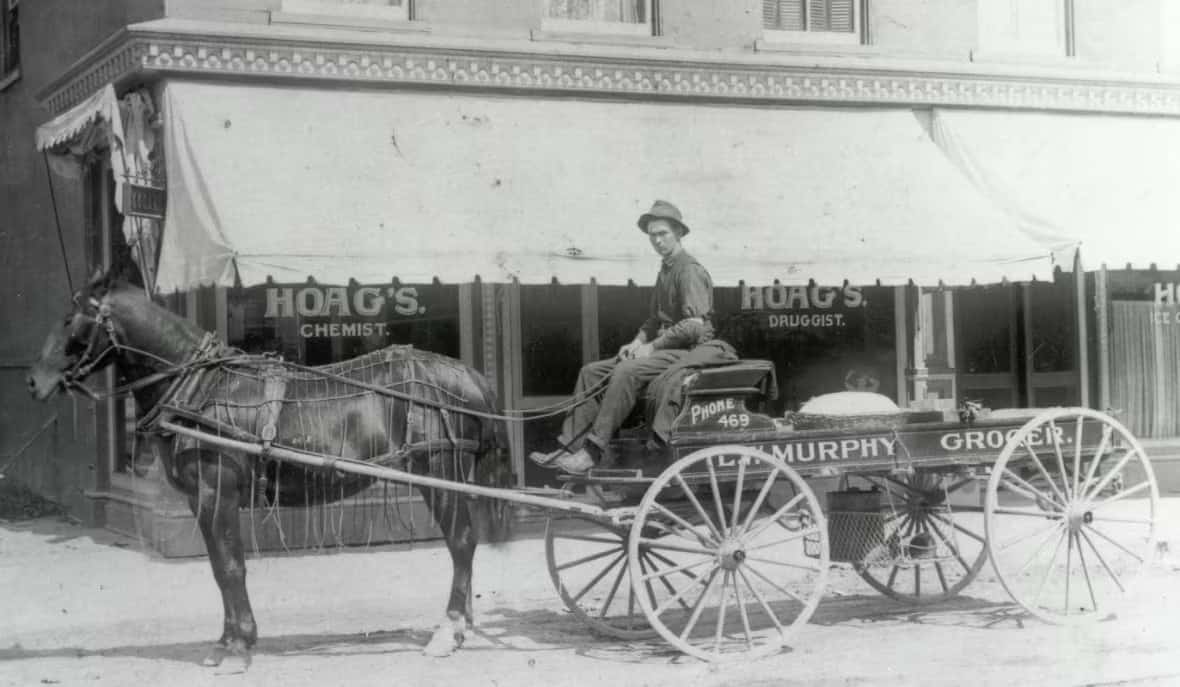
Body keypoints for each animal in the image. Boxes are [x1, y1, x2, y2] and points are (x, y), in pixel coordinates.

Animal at [27, 275, 512, 675]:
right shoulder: (199, 498)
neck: (199, 388)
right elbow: (219, 568)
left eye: (71, 319)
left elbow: (230, 568)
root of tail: (467, 374)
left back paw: (449, 630)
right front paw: (227, 643)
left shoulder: (216, 492)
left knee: (461, 543)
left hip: (440, 472)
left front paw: (238, 648)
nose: (33, 382)